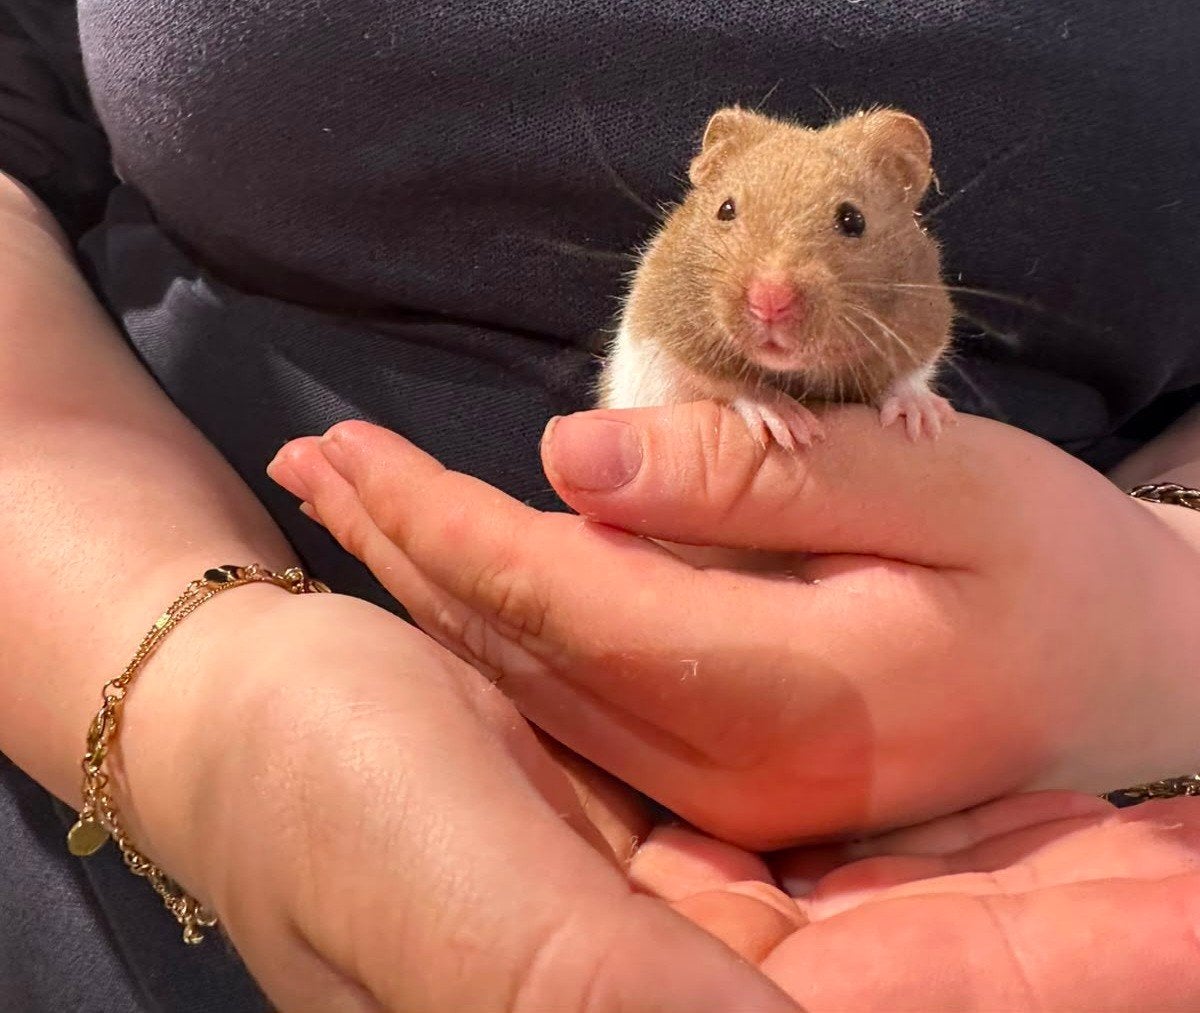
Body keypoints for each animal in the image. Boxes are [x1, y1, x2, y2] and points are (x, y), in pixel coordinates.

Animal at [599, 106, 955, 450]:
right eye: (725, 209)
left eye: (853, 220)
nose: (769, 301)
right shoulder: (662, 337)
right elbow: (726, 381)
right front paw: (788, 423)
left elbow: (906, 377)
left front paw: (926, 421)